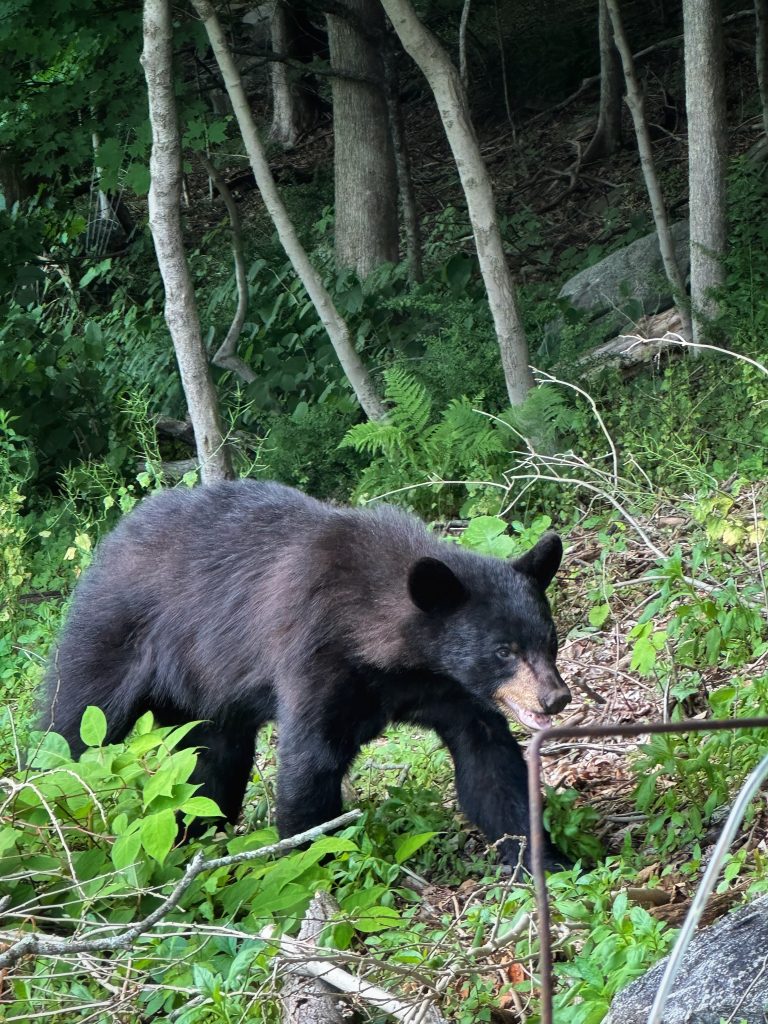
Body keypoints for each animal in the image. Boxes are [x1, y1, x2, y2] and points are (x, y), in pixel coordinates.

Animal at [41, 480, 572, 869]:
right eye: (503, 650)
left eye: (549, 640)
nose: (556, 698)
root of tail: (112, 541)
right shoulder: (317, 655)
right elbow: (311, 761)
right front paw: (313, 865)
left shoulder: (451, 692)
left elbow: (491, 763)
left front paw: (542, 858)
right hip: (110, 642)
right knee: (69, 731)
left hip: (204, 701)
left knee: (209, 770)